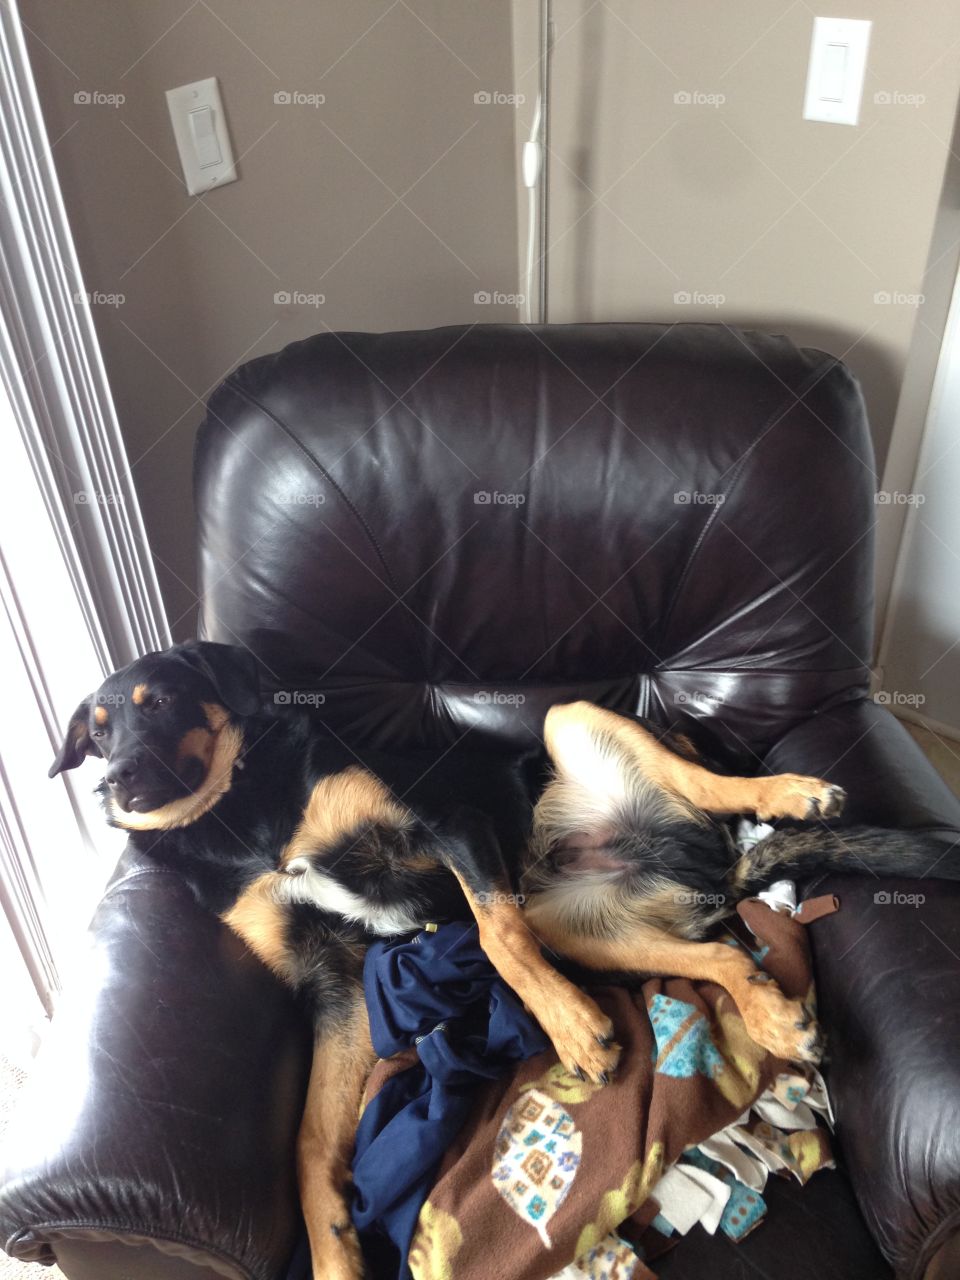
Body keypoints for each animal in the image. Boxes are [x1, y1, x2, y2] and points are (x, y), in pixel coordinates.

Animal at [52, 640, 960, 1280]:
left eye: (160, 702)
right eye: (96, 732)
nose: (121, 781)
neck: (240, 810)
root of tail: (699, 861)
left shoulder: (443, 822)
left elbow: (494, 933)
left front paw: (573, 1029)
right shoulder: (333, 981)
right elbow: (311, 1139)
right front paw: (335, 1249)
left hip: (572, 719)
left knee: (711, 787)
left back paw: (793, 793)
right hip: (577, 925)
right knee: (720, 959)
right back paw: (773, 1015)